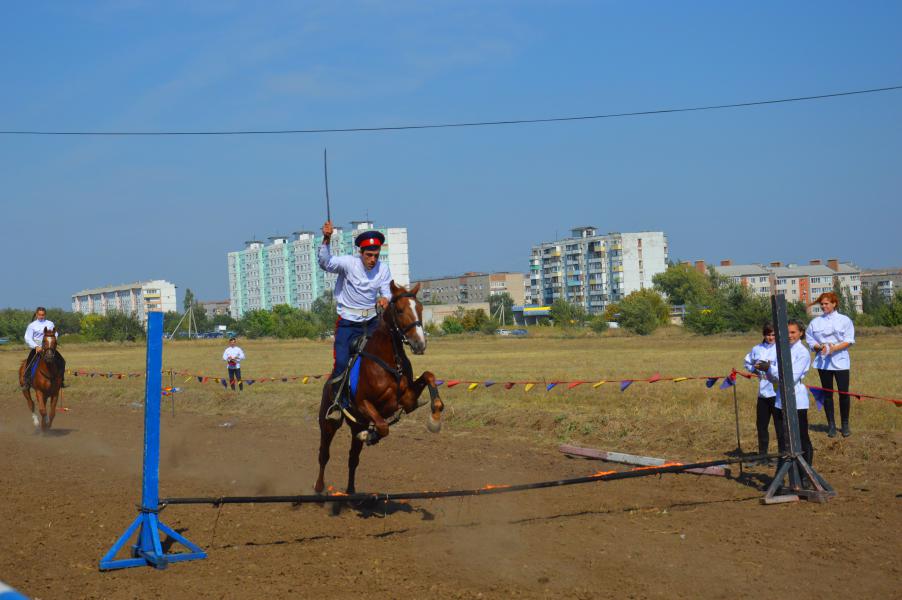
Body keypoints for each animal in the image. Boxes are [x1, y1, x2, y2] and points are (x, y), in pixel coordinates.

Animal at [316, 284, 446, 494]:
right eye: (400, 310)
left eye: (419, 308)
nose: (420, 344)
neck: (389, 362)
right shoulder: (363, 404)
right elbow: (384, 427)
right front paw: (372, 435)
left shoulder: (407, 400)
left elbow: (429, 376)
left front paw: (435, 416)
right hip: (328, 425)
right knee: (324, 455)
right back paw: (319, 487)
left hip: (356, 424)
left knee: (353, 458)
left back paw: (351, 490)